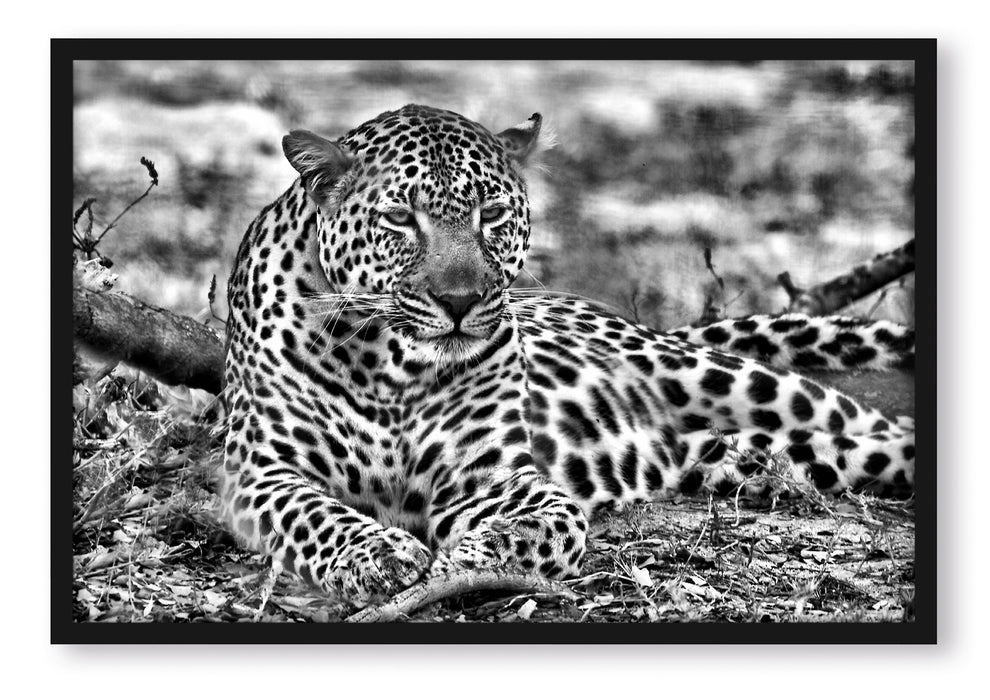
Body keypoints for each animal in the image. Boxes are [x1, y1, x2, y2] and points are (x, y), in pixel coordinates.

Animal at [221, 104, 915, 610]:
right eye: (398, 218)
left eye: (492, 214)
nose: (459, 301)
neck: (390, 366)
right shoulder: (260, 473)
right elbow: (319, 516)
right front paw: (379, 556)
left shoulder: (499, 481)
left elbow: (550, 524)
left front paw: (472, 557)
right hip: (742, 455)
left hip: (737, 381)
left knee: (876, 424)